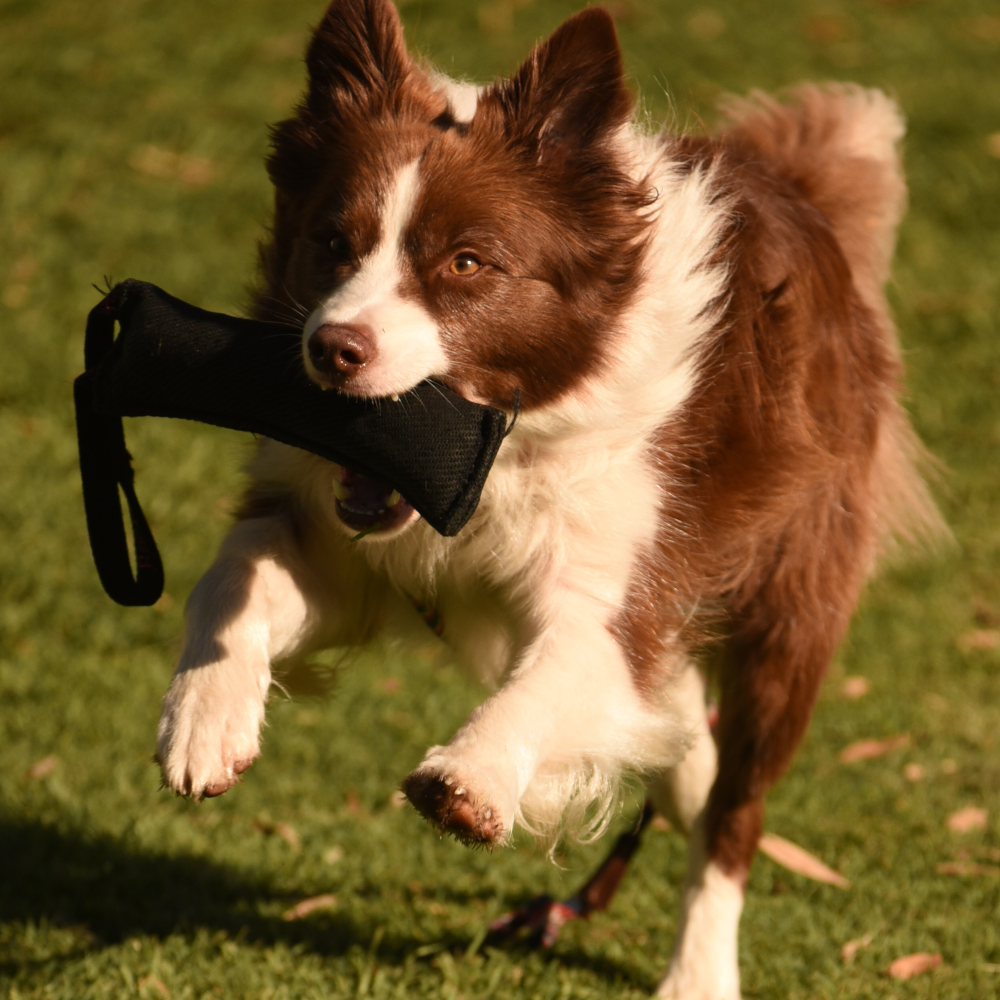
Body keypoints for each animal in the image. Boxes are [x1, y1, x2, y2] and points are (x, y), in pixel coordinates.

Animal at [154, 1, 943, 995]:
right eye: (332, 242)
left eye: (466, 263)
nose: (333, 348)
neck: (498, 456)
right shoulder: (340, 539)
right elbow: (237, 575)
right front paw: (204, 720)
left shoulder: (618, 570)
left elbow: (560, 673)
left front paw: (472, 780)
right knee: (686, 741)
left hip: (796, 600)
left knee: (734, 812)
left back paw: (699, 967)